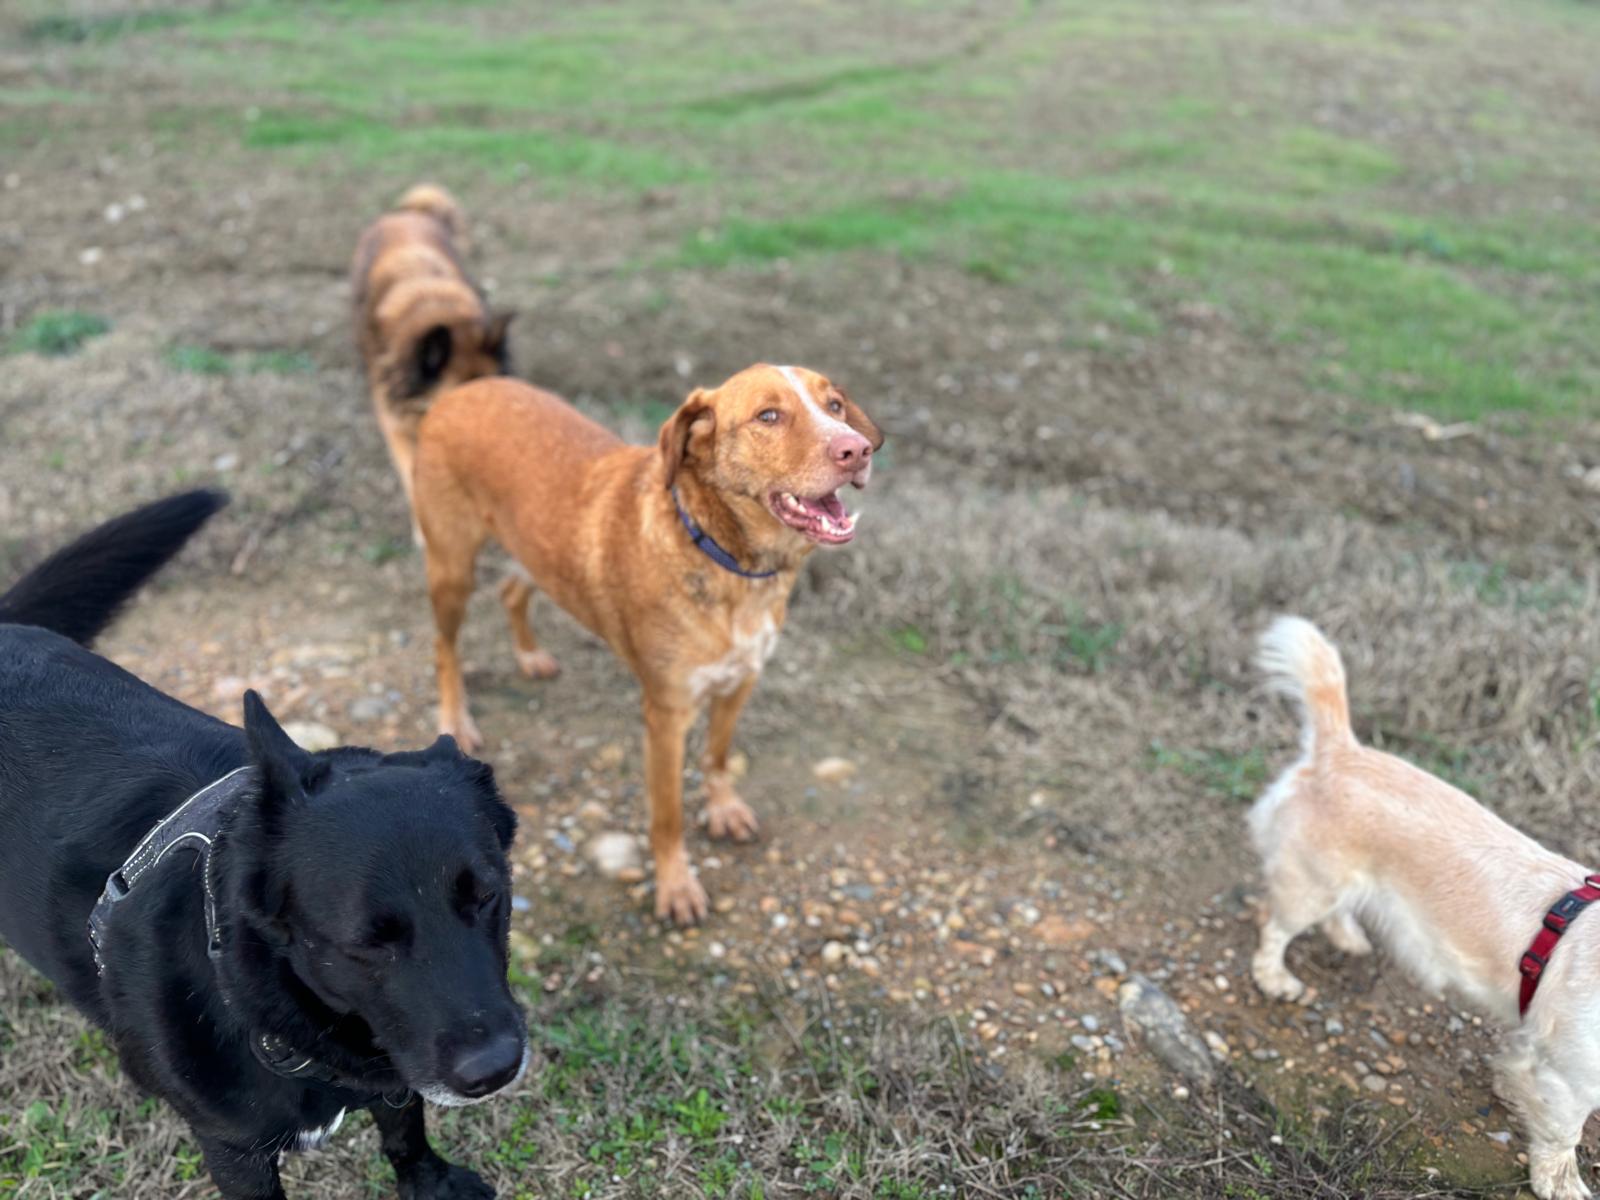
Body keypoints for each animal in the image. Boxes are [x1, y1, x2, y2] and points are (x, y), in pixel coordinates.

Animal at [0, 491, 527, 1200]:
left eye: (489, 898)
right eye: (365, 943)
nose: (496, 1068)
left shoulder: (396, 1071)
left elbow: (404, 1125)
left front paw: (429, 1180)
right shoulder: (234, 1150)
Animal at [412, 364, 882, 924]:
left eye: (835, 406)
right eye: (768, 416)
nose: (857, 449)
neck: (730, 563)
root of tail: (466, 388)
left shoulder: (742, 680)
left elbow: (718, 756)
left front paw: (723, 809)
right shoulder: (666, 714)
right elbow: (667, 815)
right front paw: (676, 886)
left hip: (535, 549)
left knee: (510, 590)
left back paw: (529, 655)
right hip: (451, 567)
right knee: (443, 647)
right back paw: (455, 718)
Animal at [1250, 616, 1600, 1200]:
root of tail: (1340, 750)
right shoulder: (1572, 1080)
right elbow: (1561, 1137)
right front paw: (1562, 1184)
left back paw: (1349, 938)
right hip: (1311, 884)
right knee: (1273, 927)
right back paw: (1275, 979)